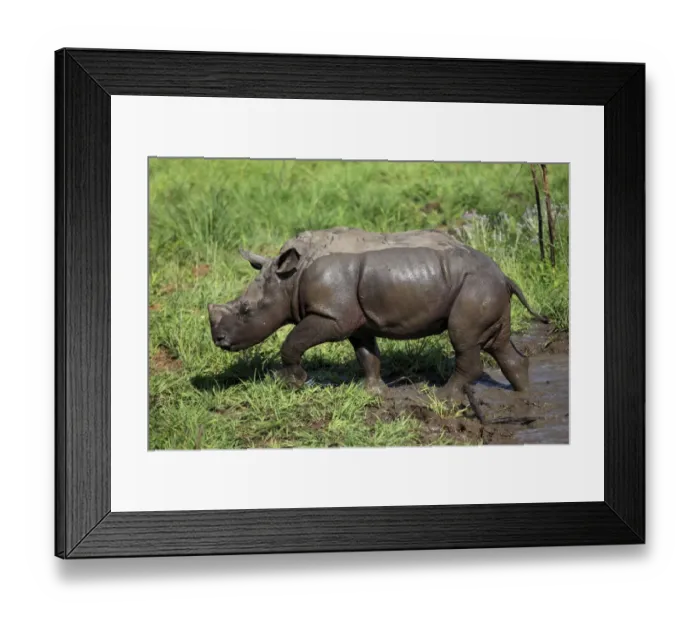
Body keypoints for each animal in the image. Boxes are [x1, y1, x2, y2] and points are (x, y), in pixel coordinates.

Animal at [207, 227, 548, 420]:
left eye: (246, 310)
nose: (219, 340)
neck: (289, 279)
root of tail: (505, 276)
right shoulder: (356, 320)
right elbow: (366, 354)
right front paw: (371, 393)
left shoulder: (332, 316)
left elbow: (292, 342)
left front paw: (292, 383)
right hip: (485, 287)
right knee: (497, 344)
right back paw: (523, 395)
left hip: (476, 287)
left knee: (463, 339)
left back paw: (442, 398)